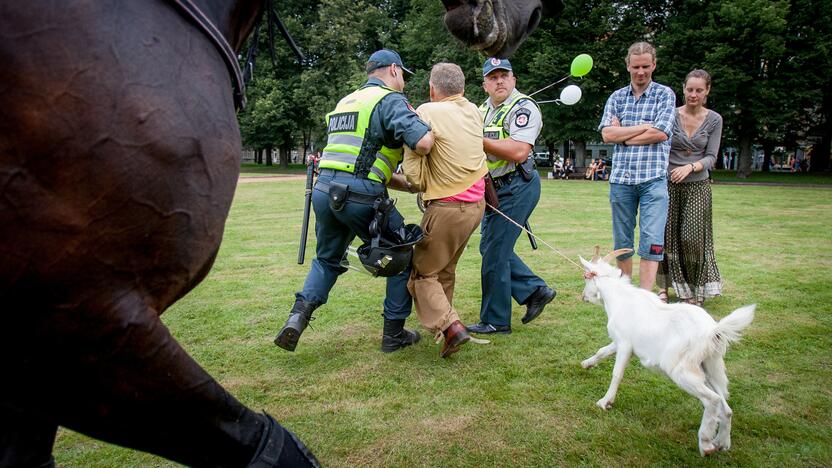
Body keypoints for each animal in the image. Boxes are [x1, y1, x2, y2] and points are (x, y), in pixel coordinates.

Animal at [580, 249, 752, 458]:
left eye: (585, 277)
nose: (583, 297)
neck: (620, 299)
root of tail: (712, 331)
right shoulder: (619, 342)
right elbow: (602, 351)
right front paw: (586, 364)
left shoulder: (625, 345)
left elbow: (617, 373)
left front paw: (605, 402)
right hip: (708, 367)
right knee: (726, 408)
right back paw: (722, 442)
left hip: (681, 370)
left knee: (713, 400)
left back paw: (706, 443)